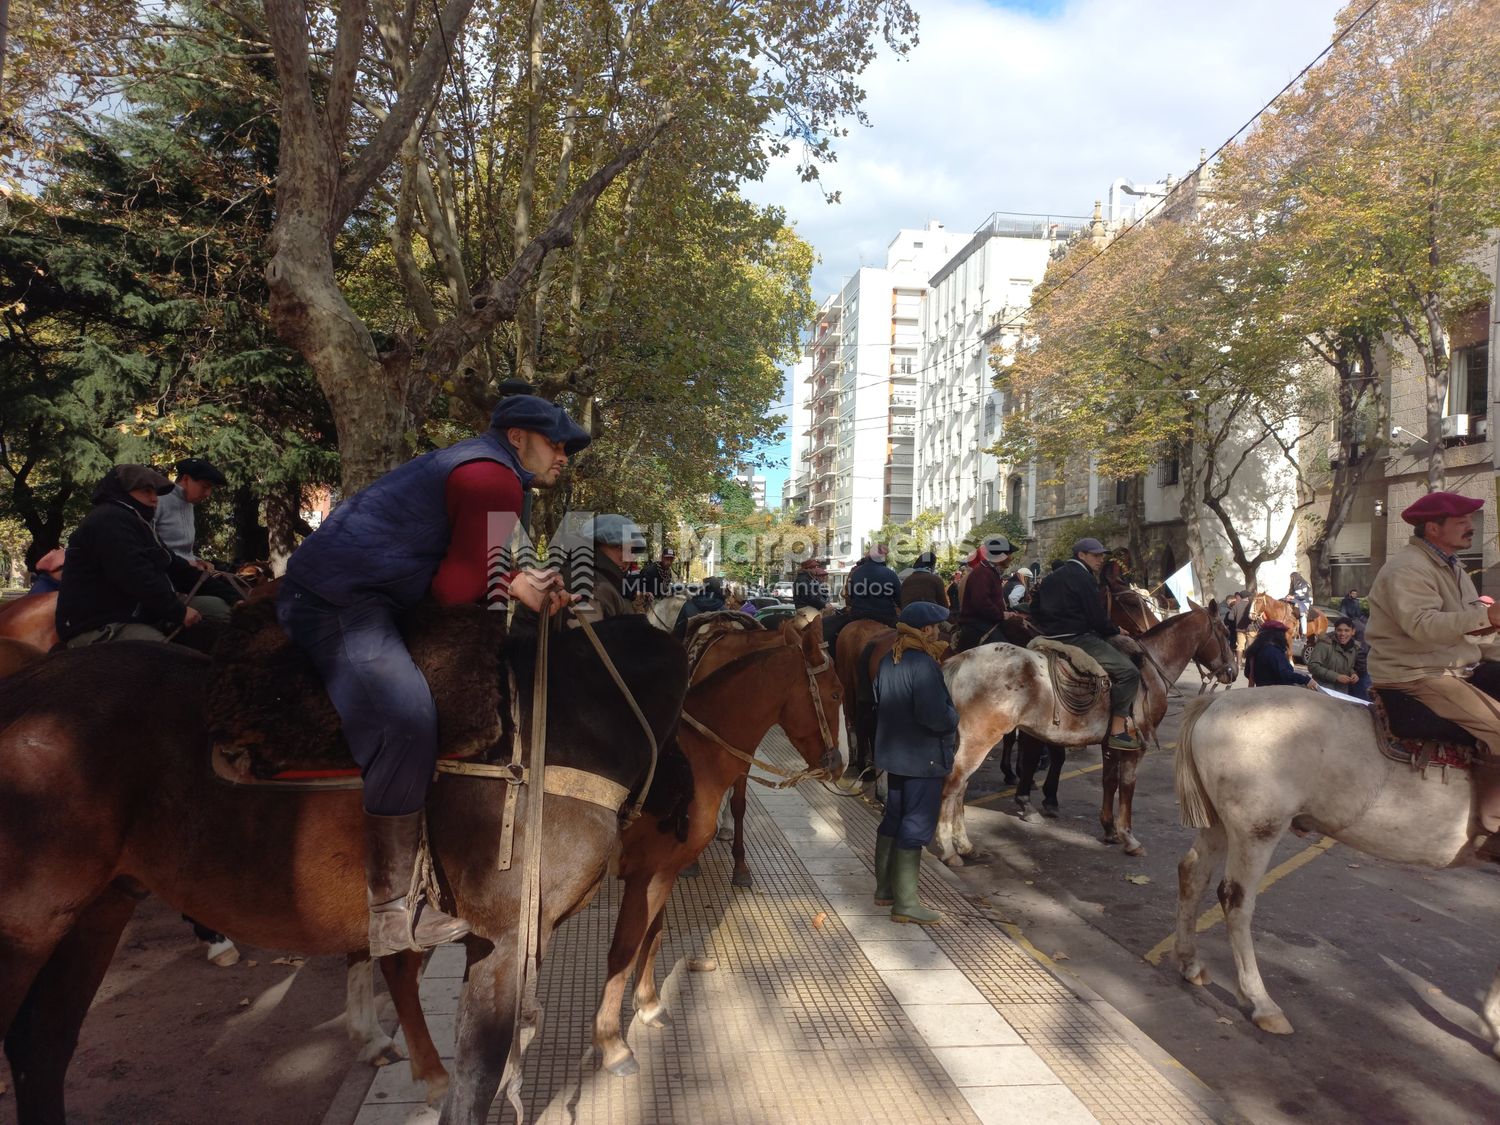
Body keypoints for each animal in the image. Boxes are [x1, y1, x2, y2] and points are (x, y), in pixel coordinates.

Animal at [0, 618, 687, 1125]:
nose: (684, 813)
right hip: (29, 929)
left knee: (41, 1049)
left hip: (97, 913)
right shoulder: (508, 939)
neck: (563, 735)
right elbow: (479, 1075)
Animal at [936, 609, 1242, 864]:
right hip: (980, 740)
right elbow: (1127, 787)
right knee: (953, 785)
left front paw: (1108, 829)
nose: (1233, 671)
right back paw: (950, 851)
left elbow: (1109, 782)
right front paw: (1128, 837)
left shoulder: (1111, 744)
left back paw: (966, 846)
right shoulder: (1135, 748)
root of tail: (964, 658)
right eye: (1223, 632)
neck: (1150, 668)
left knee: (961, 787)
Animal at [1170, 687, 1500, 1056]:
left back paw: (1190, 962)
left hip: (1220, 824)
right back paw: (1261, 1003)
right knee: (1235, 902)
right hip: (1257, 830)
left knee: (1193, 873)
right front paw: (1495, 1028)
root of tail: (1217, 701)